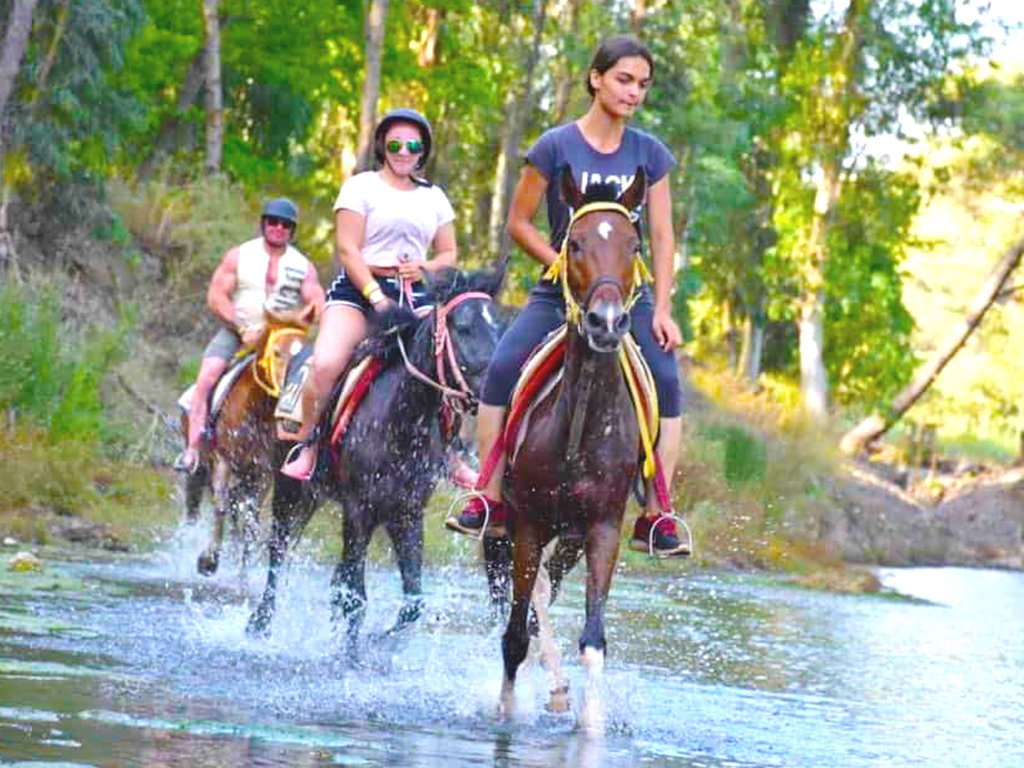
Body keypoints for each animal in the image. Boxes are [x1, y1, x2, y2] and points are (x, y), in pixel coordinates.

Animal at [180, 315, 309, 573]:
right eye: (277, 352)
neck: (255, 410)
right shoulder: (222, 460)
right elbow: (220, 506)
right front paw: (208, 560)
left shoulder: (262, 473)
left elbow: (251, 521)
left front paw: (242, 573)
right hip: (199, 467)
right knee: (195, 505)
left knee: (235, 506)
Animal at [247, 268, 503, 651]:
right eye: (463, 326)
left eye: (499, 326)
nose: (492, 390)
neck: (400, 420)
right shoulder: (359, 509)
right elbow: (356, 597)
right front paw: (350, 653)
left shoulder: (407, 513)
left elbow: (411, 601)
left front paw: (378, 643)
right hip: (291, 491)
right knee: (279, 554)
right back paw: (259, 625)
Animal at [489, 166, 647, 733]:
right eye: (574, 244)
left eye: (633, 245)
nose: (607, 322)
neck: (578, 430)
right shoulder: (529, 524)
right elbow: (514, 633)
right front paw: (506, 710)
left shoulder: (602, 528)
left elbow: (593, 640)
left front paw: (591, 722)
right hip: (512, 527)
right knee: (528, 601)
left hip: (570, 539)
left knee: (546, 594)